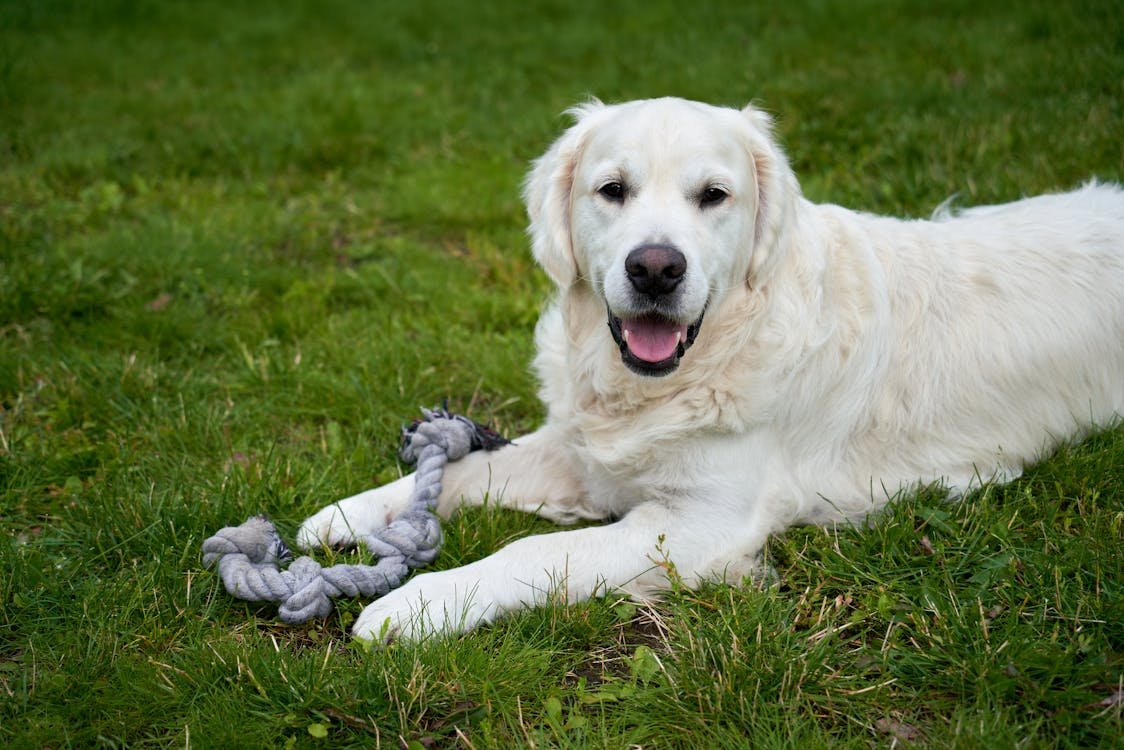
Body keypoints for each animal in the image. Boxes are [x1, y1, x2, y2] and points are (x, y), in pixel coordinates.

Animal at [296, 96, 1124, 643]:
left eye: (714, 195)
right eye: (612, 189)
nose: (656, 268)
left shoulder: (703, 521)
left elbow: (536, 549)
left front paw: (417, 605)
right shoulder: (581, 453)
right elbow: (468, 470)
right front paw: (349, 514)